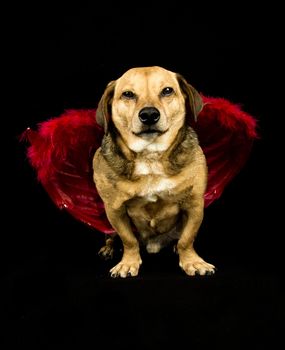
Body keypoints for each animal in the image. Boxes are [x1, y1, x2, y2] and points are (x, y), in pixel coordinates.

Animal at [92, 65, 214, 278]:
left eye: (167, 91)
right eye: (128, 94)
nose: (149, 114)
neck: (150, 156)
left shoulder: (194, 205)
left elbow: (186, 239)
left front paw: (192, 261)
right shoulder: (114, 210)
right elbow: (128, 240)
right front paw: (128, 263)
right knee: (113, 236)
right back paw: (109, 248)